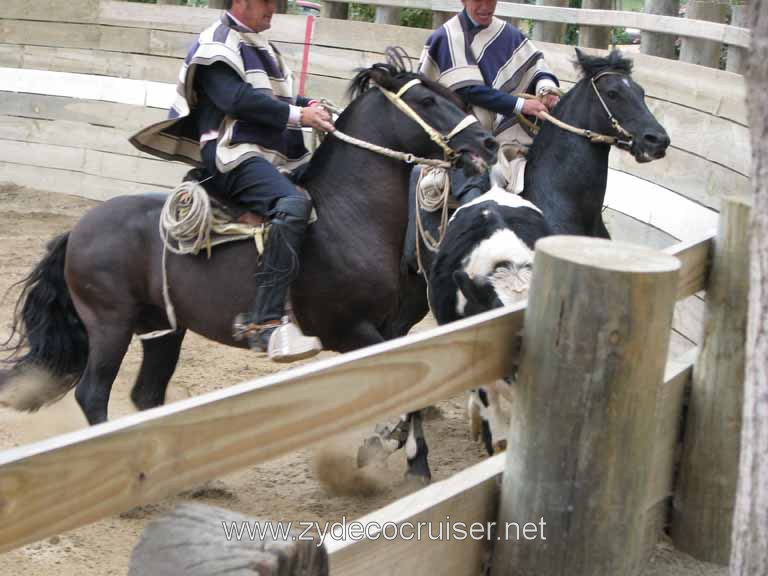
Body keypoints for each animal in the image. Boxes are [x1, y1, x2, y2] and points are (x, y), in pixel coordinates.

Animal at [0, 60, 498, 466]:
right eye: (427, 100)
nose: (489, 142)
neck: (347, 212)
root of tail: (78, 230)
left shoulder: (393, 329)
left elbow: (414, 386)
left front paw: (398, 451)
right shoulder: (350, 331)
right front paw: (397, 451)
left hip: (163, 328)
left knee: (146, 394)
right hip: (110, 325)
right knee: (94, 394)